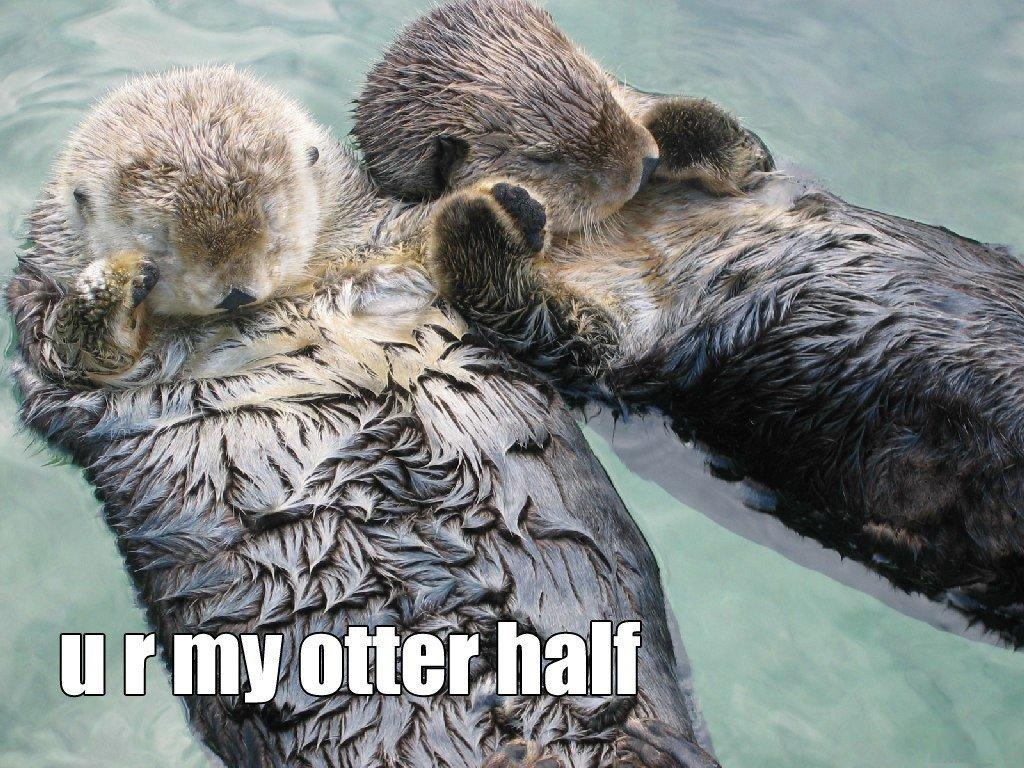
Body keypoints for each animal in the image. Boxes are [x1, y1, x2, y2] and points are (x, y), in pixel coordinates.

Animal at [7, 67, 723, 766]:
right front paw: (115, 279)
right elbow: (72, 350)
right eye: (159, 241)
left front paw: (507, 203)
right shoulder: (50, 346)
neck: (290, 299)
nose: (235, 291)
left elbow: (570, 327)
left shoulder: (387, 245)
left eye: (272, 215)